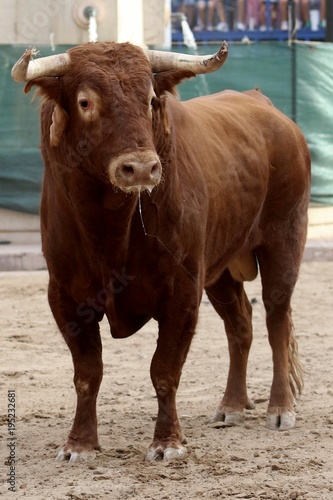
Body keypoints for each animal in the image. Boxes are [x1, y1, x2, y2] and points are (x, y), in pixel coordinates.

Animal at [11, 41, 310, 462]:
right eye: (85, 102)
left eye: (151, 99)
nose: (141, 168)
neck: (110, 227)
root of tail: (269, 110)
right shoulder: (66, 296)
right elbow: (87, 373)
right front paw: (79, 444)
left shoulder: (181, 291)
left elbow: (164, 370)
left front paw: (167, 442)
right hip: (219, 270)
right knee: (241, 324)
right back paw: (232, 405)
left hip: (284, 241)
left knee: (276, 319)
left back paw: (280, 408)